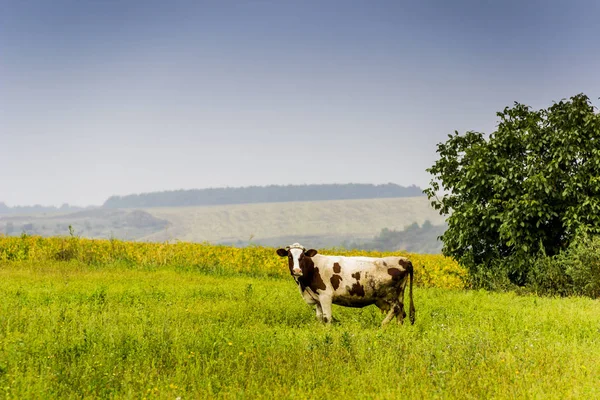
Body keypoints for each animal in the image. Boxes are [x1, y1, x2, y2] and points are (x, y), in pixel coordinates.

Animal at [276, 242, 412, 326]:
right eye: (289, 256)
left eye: (302, 256)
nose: (297, 271)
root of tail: (404, 260)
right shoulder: (317, 298)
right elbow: (319, 318)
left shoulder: (325, 296)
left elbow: (327, 318)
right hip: (399, 294)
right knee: (401, 313)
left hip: (389, 294)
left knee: (396, 308)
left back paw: (383, 325)